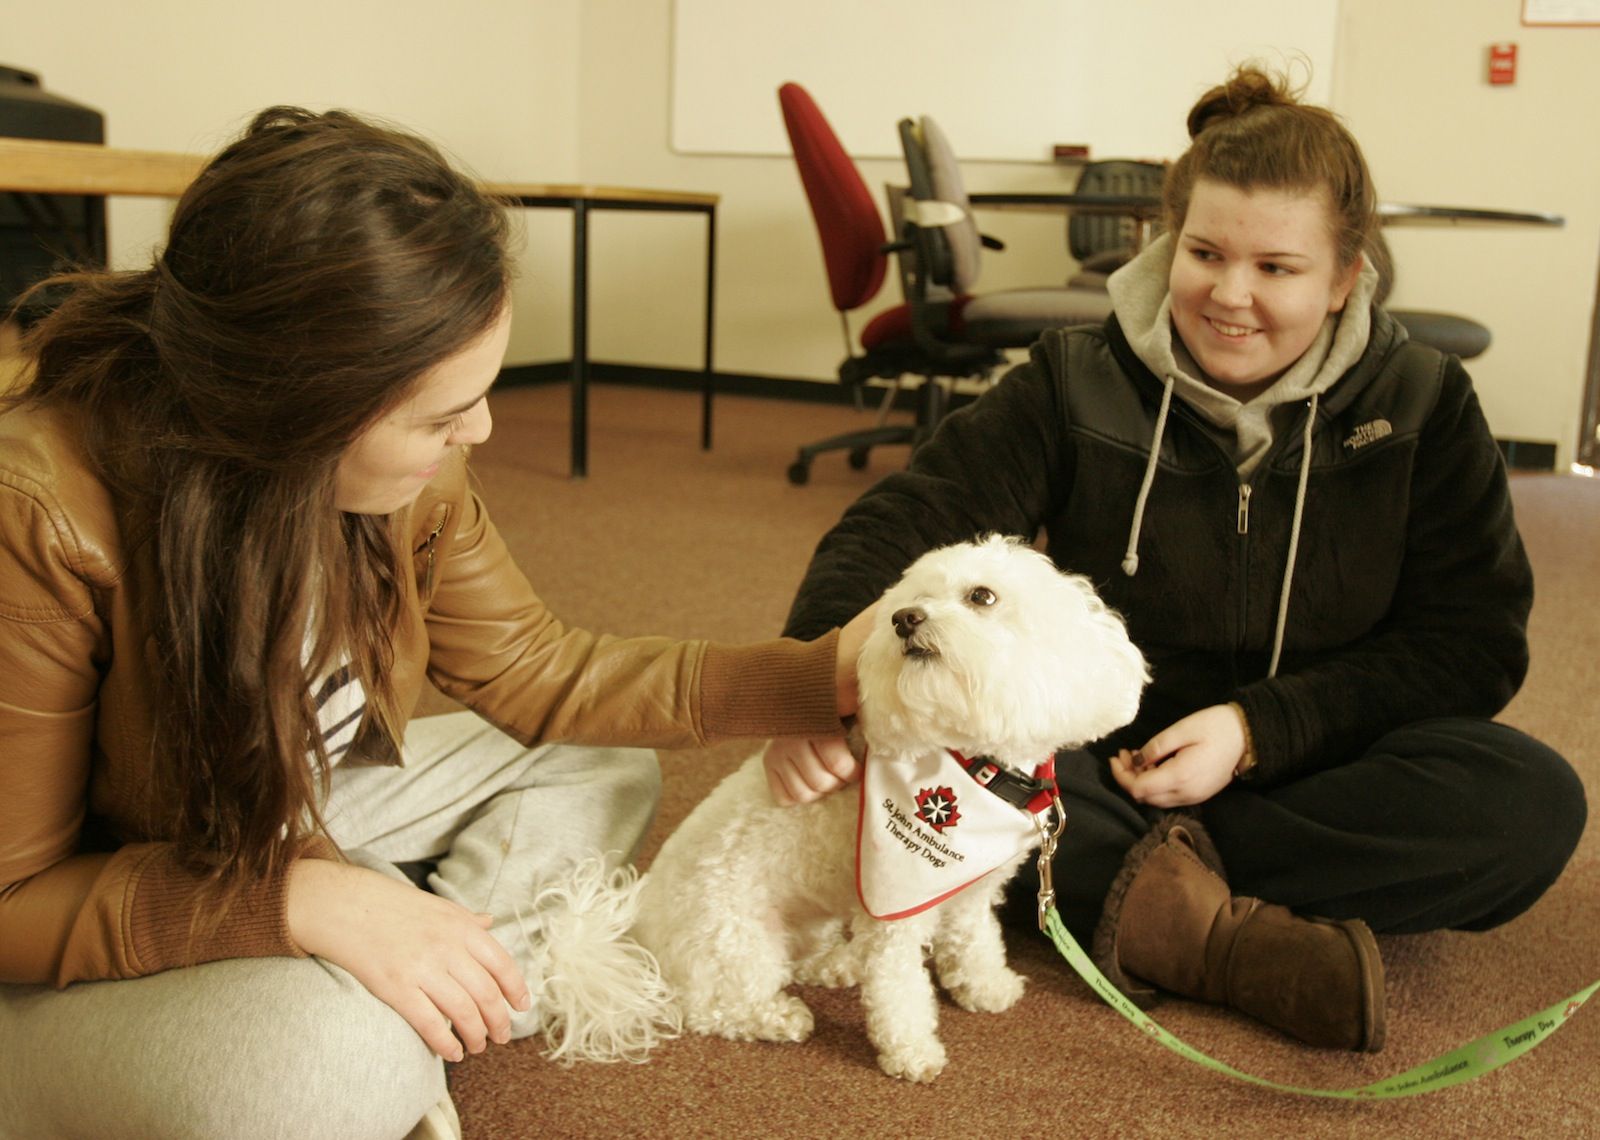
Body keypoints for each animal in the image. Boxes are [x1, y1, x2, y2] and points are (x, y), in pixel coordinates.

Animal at [614, 534, 1152, 1075]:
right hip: (736, 945)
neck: (974, 765)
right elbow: (899, 988)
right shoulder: (894, 913)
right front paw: (911, 1050)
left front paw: (985, 985)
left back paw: (837, 964)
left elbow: (974, 941)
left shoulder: (972, 892)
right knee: (711, 1007)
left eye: (982, 596)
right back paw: (778, 1016)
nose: (904, 618)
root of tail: (638, 934)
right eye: (910, 600)